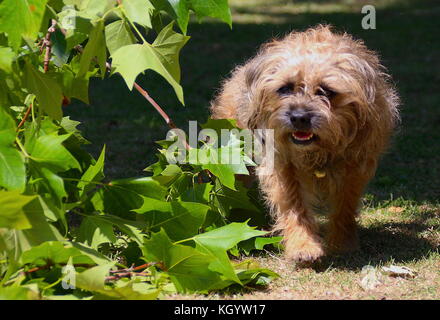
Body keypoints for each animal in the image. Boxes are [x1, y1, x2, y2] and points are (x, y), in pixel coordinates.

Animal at [211, 25, 400, 262]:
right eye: (285, 88)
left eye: (326, 91)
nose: (299, 117)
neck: (318, 150)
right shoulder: (283, 168)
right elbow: (295, 206)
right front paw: (303, 245)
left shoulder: (354, 168)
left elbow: (345, 205)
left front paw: (343, 243)